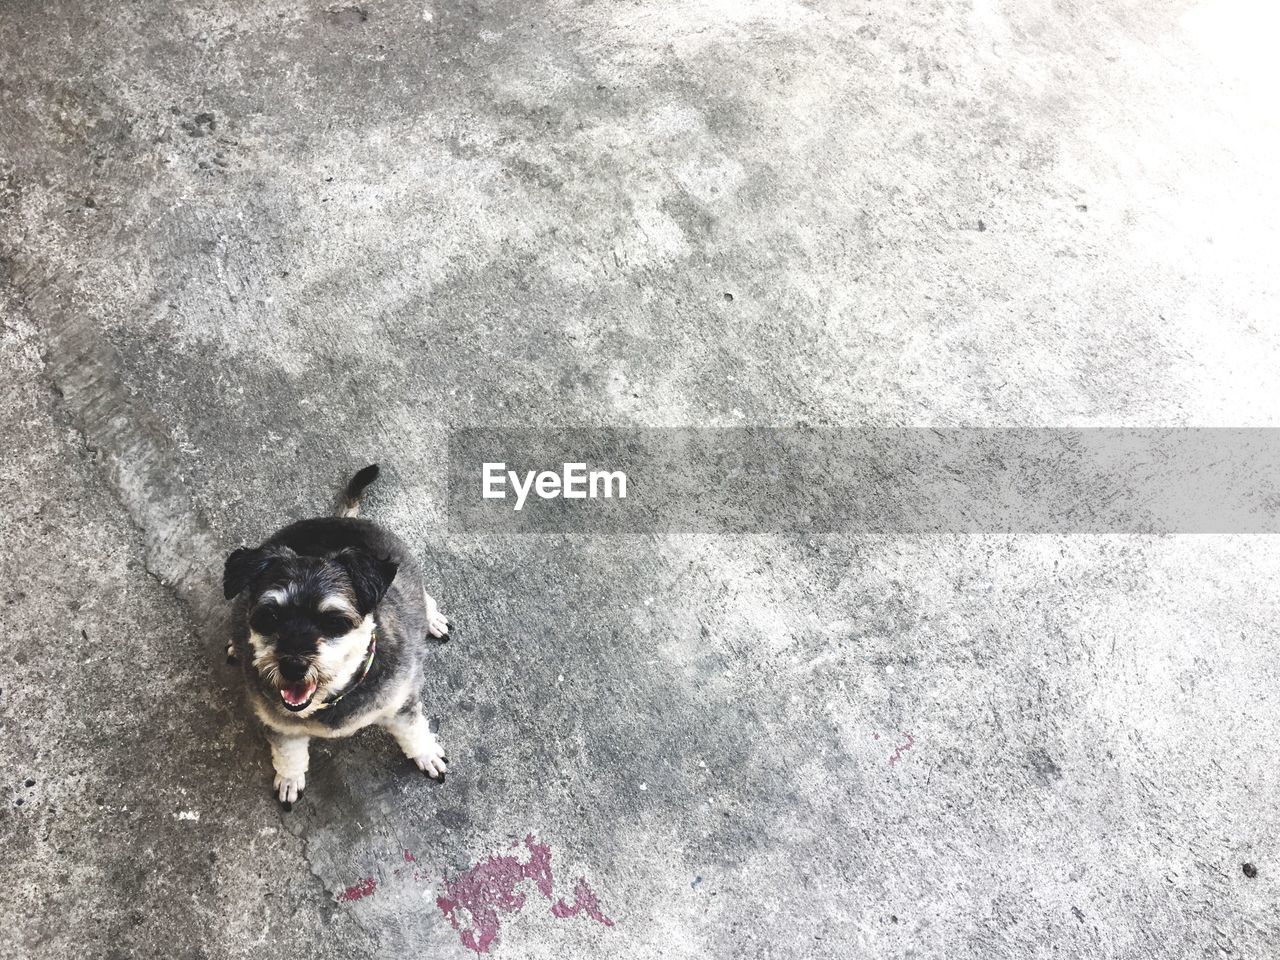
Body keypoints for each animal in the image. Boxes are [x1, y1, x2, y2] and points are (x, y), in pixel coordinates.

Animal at [224, 465, 450, 814]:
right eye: (269, 617)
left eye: (334, 622)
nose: (293, 666)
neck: (333, 698)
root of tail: (339, 520)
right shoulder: (280, 725)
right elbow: (289, 754)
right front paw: (289, 778)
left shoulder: (400, 703)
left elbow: (413, 731)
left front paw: (425, 753)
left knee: (425, 598)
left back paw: (432, 618)